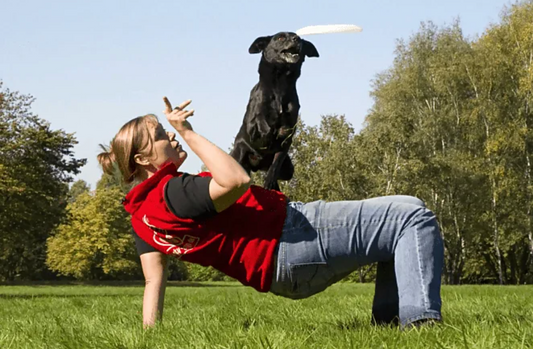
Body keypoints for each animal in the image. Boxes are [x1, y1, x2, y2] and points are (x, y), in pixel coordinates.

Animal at [230, 31, 318, 190]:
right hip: (239, 156)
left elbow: (276, 164)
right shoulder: (252, 124)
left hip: (288, 169)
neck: (280, 86)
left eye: (301, 39)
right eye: (281, 37)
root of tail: (255, 166)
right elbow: (260, 120)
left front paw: (269, 182)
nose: (297, 39)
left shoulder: (287, 140)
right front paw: (268, 132)